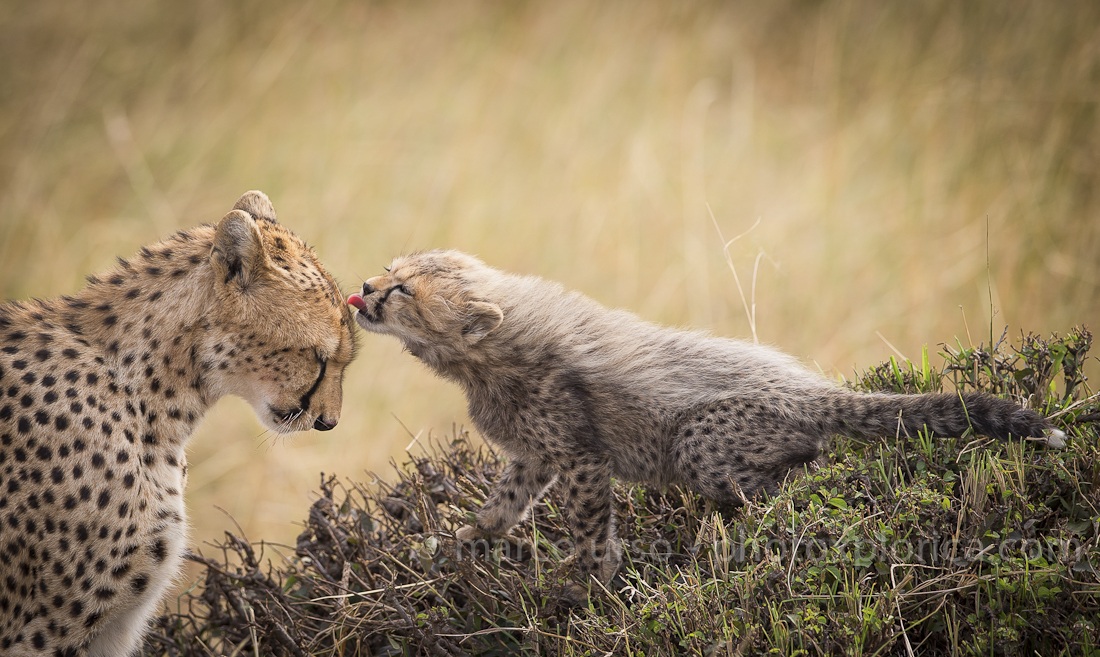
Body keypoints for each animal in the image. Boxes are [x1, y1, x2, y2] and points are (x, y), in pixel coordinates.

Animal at [347, 249, 1065, 584]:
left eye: (404, 289)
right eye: (389, 268)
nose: (363, 289)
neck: (484, 355)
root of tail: (811, 388)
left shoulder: (580, 456)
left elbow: (589, 527)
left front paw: (590, 584)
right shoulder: (534, 455)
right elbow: (503, 506)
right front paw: (464, 539)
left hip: (703, 440)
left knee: (800, 480)